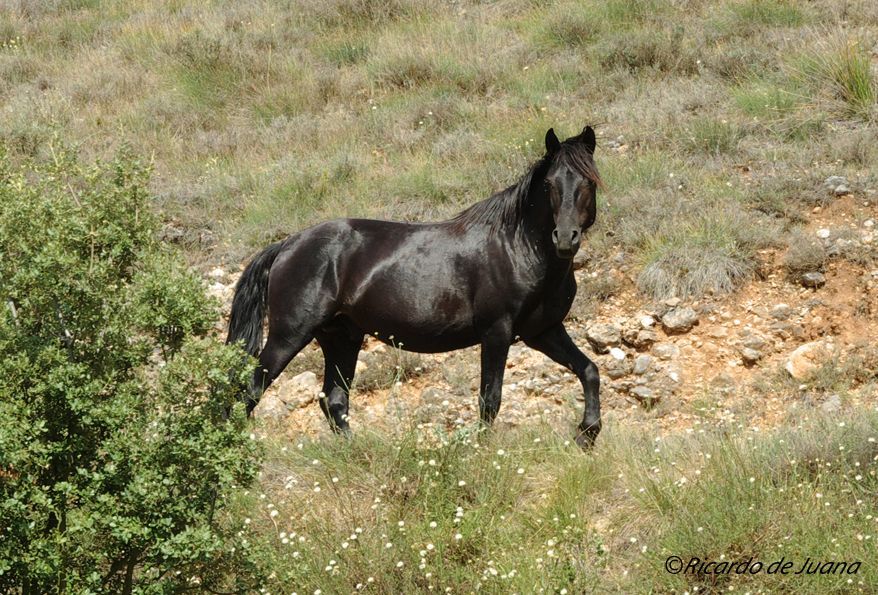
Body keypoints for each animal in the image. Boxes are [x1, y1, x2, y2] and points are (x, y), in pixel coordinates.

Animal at [226, 126, 604, 448]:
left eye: (589, 181)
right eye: (550, 184)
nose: (565, 237)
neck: (517, 247)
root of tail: (287, 244)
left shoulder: (543, 331)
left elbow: (588, 370)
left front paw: (587, 434)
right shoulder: (497, 332)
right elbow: (490, 399)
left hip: (341, 338)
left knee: (334, 401)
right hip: (289, 336)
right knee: (250, 391)